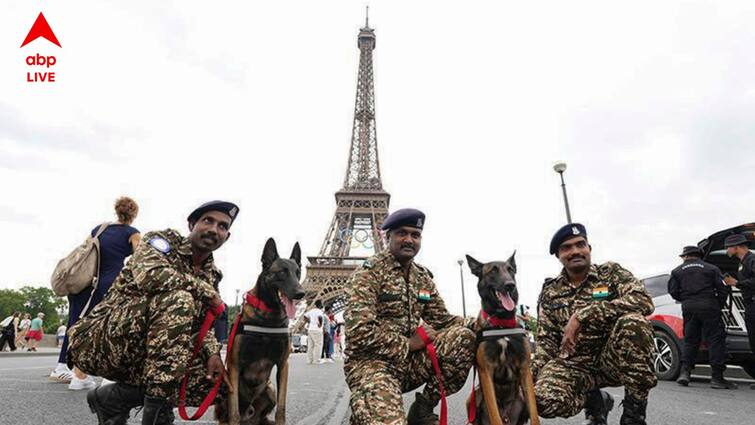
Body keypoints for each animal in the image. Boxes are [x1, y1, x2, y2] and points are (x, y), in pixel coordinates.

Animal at [216, 238, 304, 424]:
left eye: (298, 272)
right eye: (282, 272)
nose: (301, 293)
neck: (269, 317)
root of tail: (249, 417)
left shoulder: (283, 365)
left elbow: (281, 409)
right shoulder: (234, 366)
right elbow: (234, 411)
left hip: (270, 389)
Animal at [464, 252, 540, 424]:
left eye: (511, 270)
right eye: (493, 271)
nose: (510, 285)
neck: (502, 324)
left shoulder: (524, 369)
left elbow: (534, 414)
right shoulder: (486, 371)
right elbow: (494, 415)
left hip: (521, 397)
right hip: (473, 397)